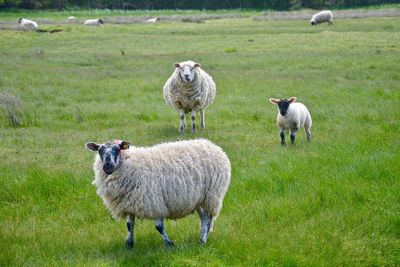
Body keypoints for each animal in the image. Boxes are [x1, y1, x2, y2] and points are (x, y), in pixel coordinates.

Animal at [86, 139, 233, 250]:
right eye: (100, 151)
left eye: (117, 149)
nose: (108, 166)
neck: (128, 163)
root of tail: (214, 146)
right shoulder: (130, 203)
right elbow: (129, 225)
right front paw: (128, 245)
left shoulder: (154, 202)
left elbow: (159, 227)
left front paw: (170, 244)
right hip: (198, 199)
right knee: (204, 218)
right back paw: (202, 238)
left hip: (211, 196)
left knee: (207, 219)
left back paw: (202, 240)